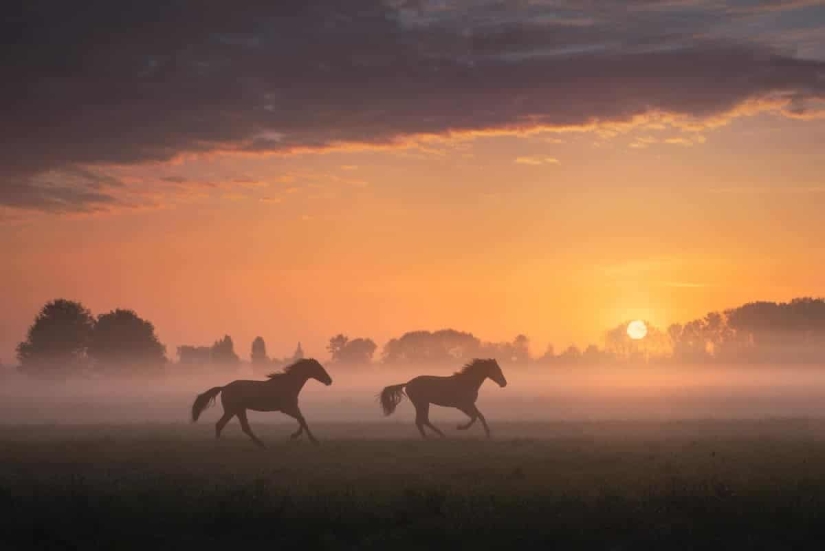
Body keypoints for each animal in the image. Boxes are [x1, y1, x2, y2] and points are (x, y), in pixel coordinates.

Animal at [192, 358, 334, 448]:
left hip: (238, 410)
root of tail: (224, 387)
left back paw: (261, 444)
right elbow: (302, 420)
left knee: (240, 427)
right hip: (232, 410)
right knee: (221, 425)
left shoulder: (293, 407)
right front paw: (313, 441)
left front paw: (295, 436)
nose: (329, 380)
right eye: (318, 368)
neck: (288, 385)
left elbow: (302, 420)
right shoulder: (287, 408)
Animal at [378, 358, 506, 440]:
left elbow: (480, 416)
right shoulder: (462, 405)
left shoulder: (470, 404)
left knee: (422, 420)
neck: (467, 382)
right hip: (421, 403)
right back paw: (434, 436)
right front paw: (460, 427)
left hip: (423, 404)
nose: (504, 383)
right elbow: (474, 417)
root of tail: (408, 383)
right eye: (497, 370)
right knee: (421, 420)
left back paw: (436, 435)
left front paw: (488, 434)